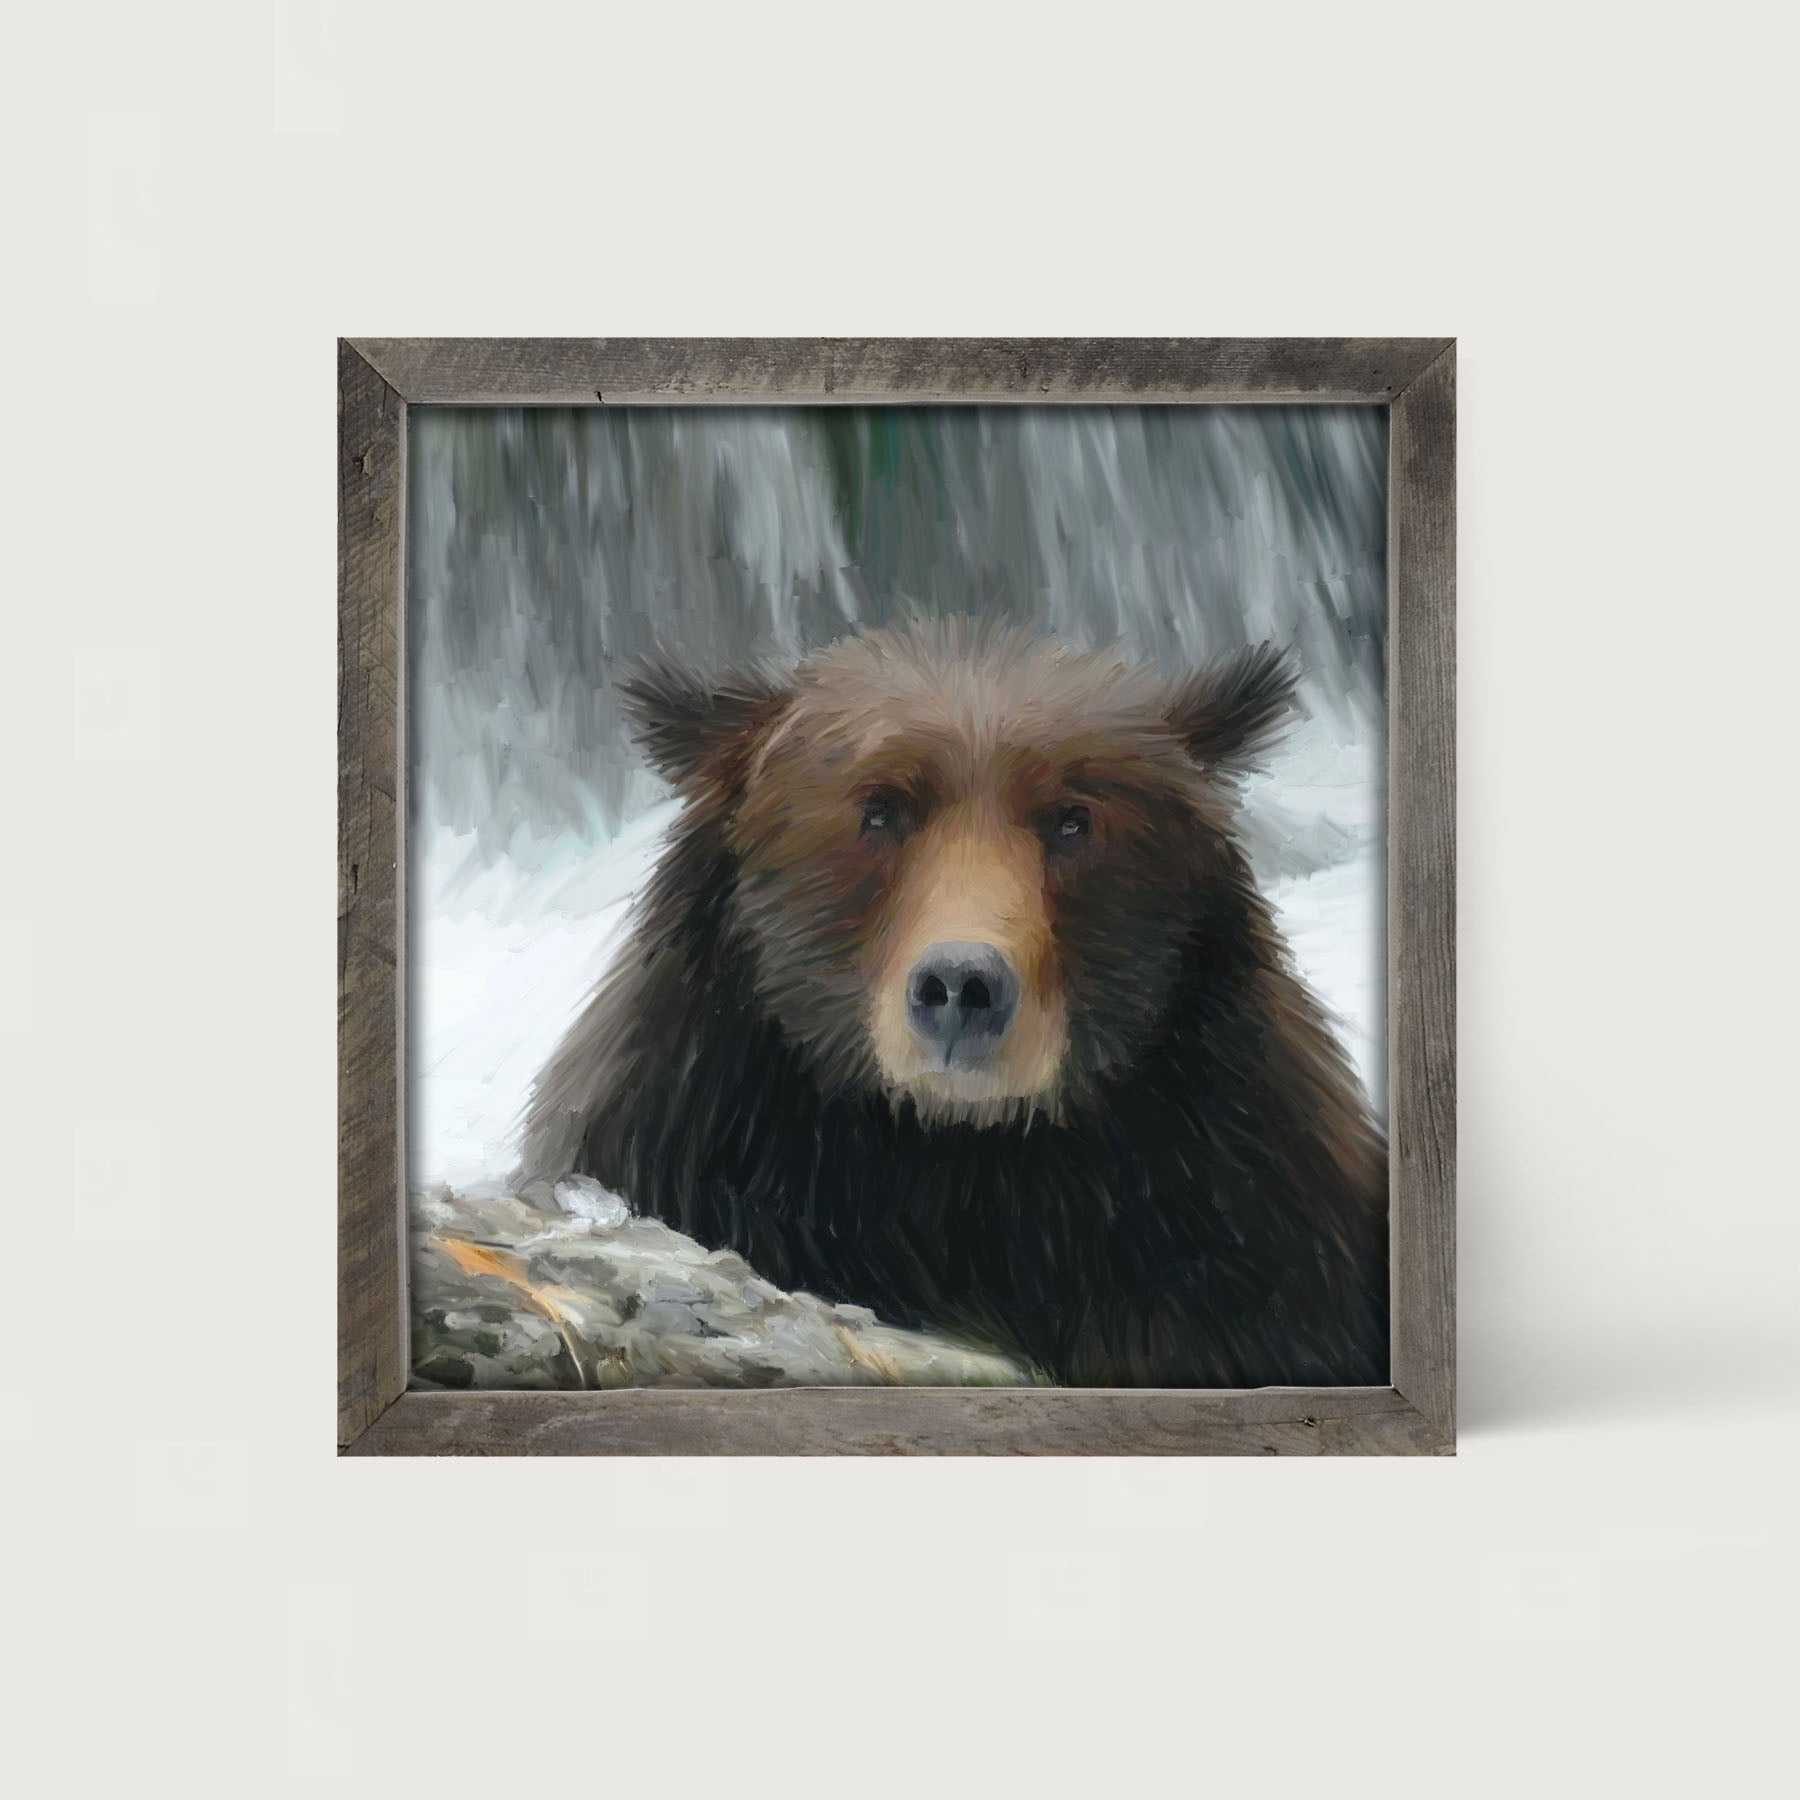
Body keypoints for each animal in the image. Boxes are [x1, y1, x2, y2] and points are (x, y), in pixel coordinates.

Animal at [522, 616, 1388, 1388]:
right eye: (879, 809)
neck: (959, 1165)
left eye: (1073, 819)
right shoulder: (693, 1138)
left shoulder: (1240, 1220)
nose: (961, 987)